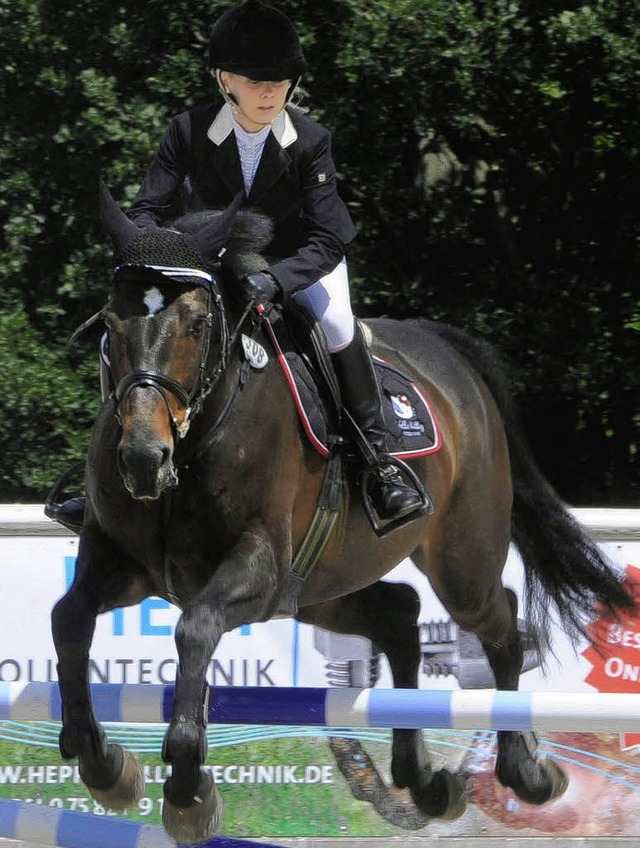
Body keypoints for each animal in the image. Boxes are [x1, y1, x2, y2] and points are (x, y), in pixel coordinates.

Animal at [51, 189, 636, 844]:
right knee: (400, 616)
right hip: (319, 585)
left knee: (500, 626)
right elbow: (68, 617)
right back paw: (424, 780)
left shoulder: (259, 568)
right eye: (110, 323)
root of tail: (447, 354)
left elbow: (195, 629)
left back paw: (526, 773)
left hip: (456, 560)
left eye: (198, 325)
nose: (141, 459)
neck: (196, 438)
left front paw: (186, 790)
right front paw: (103, 765)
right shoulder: (121, 560)